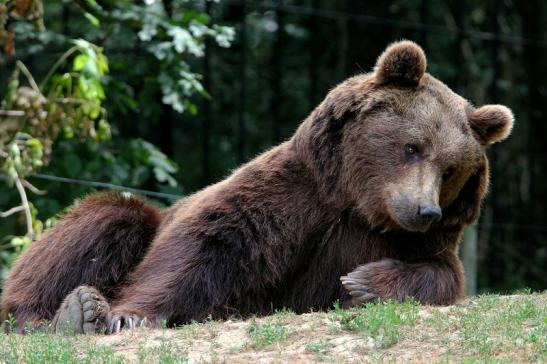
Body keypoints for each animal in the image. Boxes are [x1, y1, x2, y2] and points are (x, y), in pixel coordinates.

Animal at [0, 41, 512, 334]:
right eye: (412, 147)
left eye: (452, 169)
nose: (426, 211)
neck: (356, 201)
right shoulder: (289, 197)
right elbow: (202, 247)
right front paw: (127, 314)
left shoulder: (410, 240)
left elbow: (441, 274)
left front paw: (365, 282)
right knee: (107, 220)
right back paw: (62, 313)